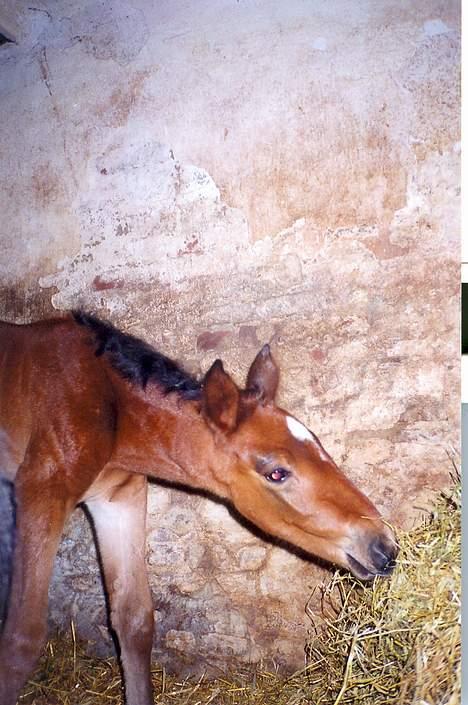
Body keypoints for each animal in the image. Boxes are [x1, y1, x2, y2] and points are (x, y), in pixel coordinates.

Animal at [0, 314, 394, 704]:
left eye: (319, 445)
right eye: (276, 472)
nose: (383, 547)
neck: (104, 403)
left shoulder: (117, 498)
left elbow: (134, 621)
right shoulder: (42, 489)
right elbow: (22, 640)